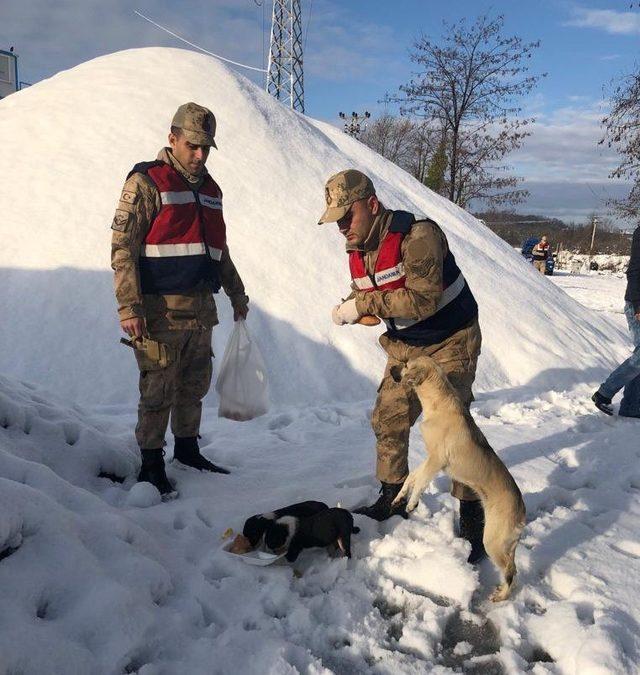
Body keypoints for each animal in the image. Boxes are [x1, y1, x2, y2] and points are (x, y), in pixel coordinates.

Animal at [390, 356, 524, 604]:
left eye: (406, 364)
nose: (392, 367)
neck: (437, 405)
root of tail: (522, 512)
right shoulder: (430, 458)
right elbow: (413, 477)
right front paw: (400, 497)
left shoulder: (436, 460)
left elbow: (421, 481)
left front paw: (412, 503)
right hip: (504, 544)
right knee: (512, 568)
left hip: (493, 541)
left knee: (511, 571)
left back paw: (501, 596)